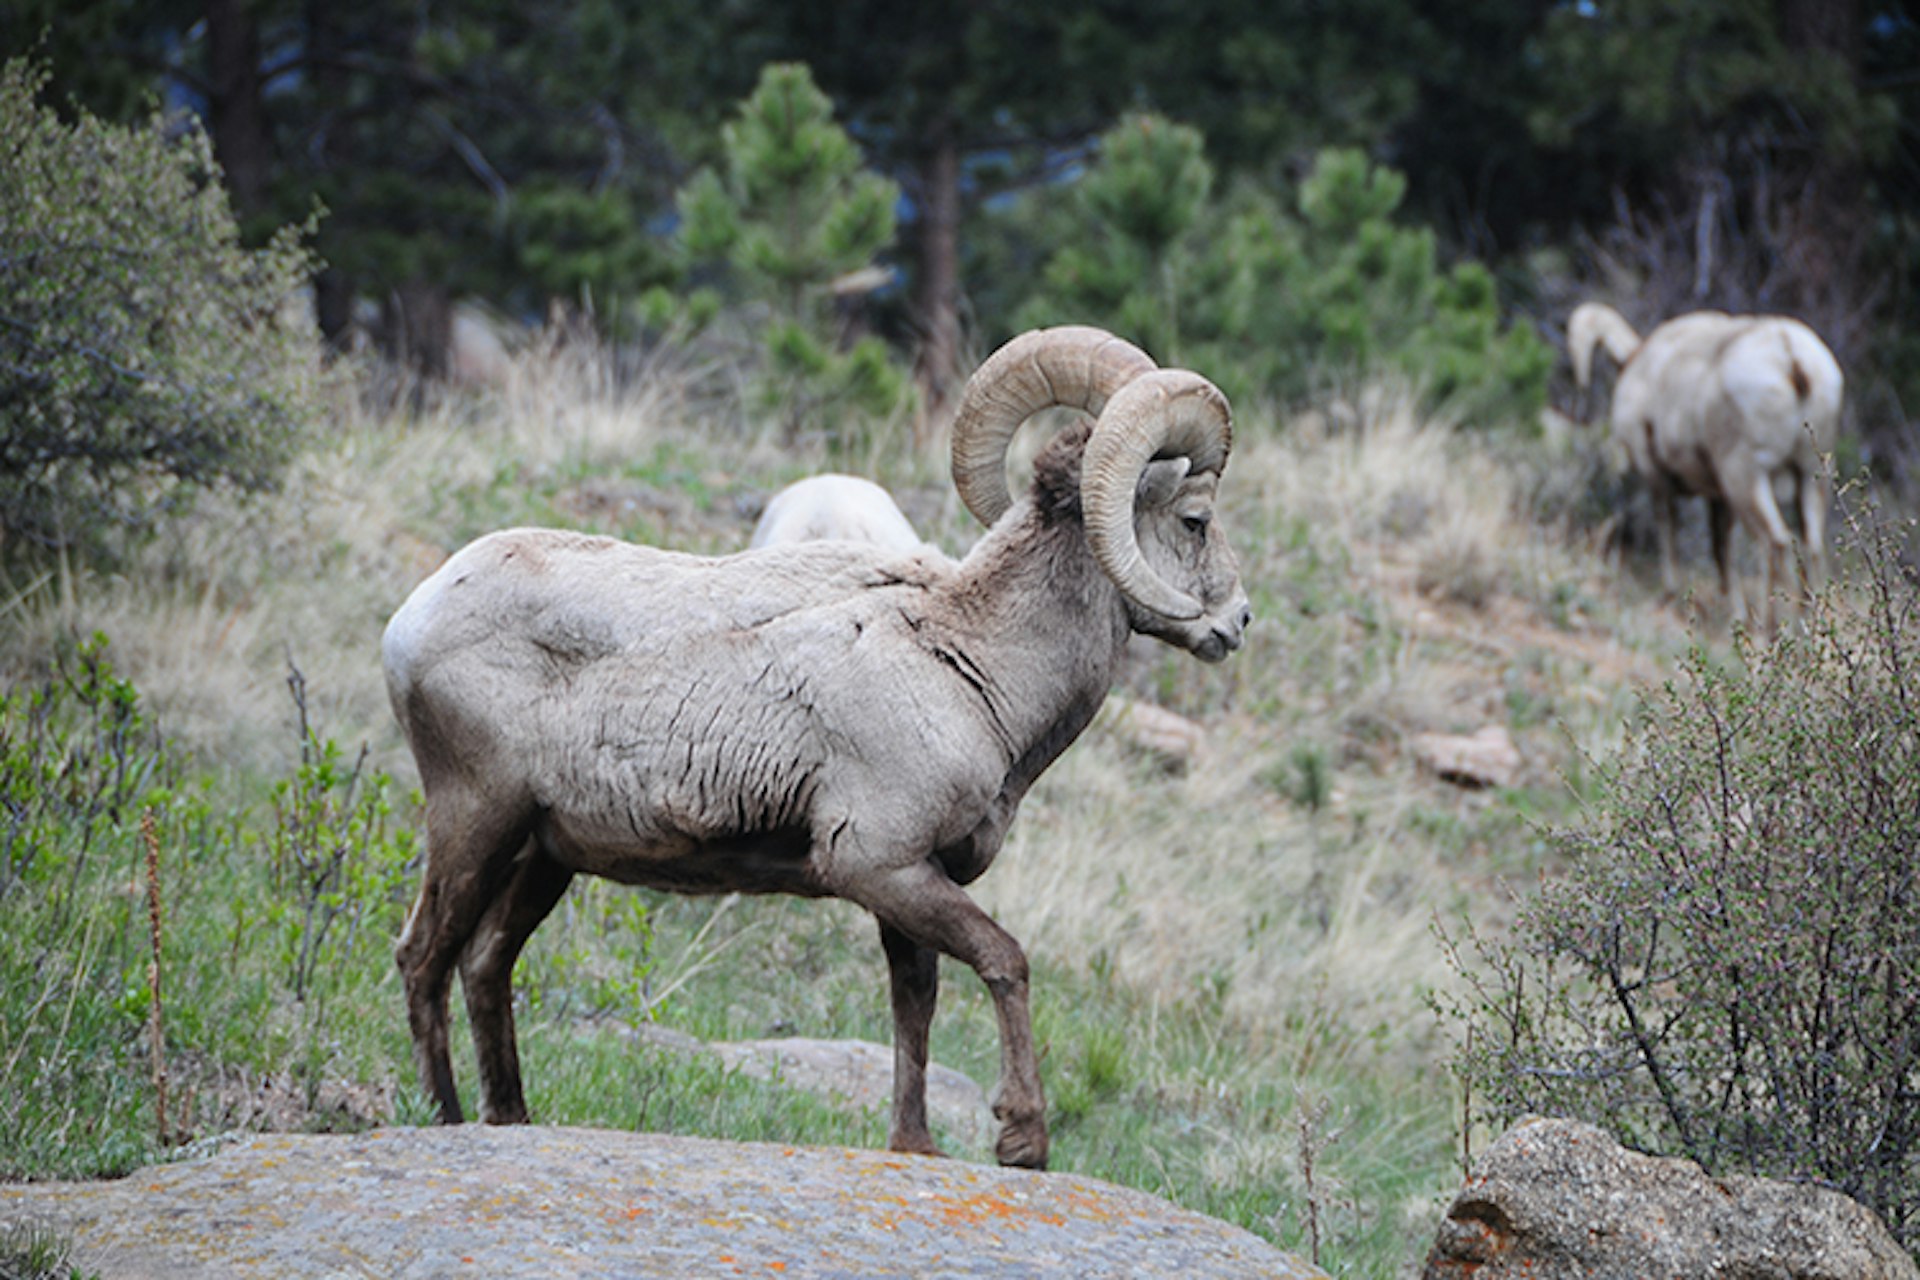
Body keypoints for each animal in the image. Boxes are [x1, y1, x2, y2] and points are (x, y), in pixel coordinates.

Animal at [1574, 305, 1843, 637]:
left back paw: (1771, 630)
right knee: (1812, 547)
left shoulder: (1658, 478)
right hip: (1809, 477)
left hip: (1745, 478)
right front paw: (1734, 616)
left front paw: (1670, 593)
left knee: (1776, 542)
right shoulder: (1719, 498)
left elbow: (1668, 529)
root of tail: (1791, 358)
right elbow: (1720, 550)